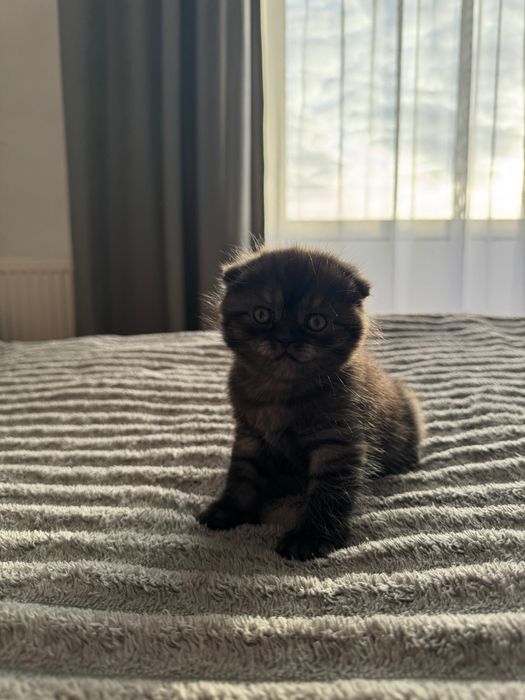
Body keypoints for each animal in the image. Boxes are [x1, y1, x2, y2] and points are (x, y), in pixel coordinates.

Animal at [198, 246, 424, 560]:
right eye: (262, 315)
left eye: (316, 322)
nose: (285, 339)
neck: (280, 393)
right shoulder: (250, 435)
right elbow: (243, 476)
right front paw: (229, 511)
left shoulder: (337, 444)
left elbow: (327, 493)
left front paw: (311, 537)